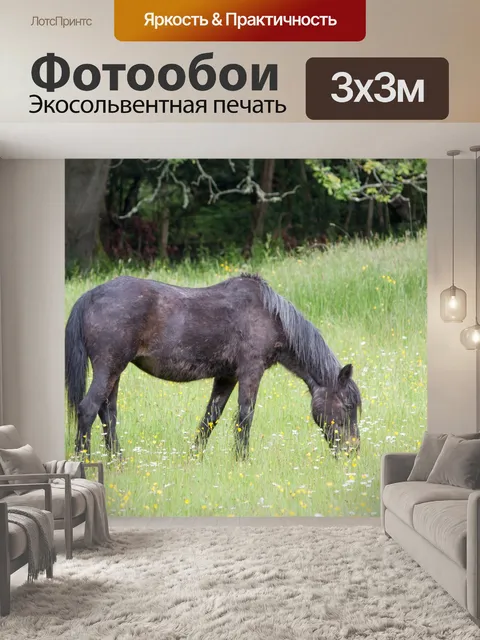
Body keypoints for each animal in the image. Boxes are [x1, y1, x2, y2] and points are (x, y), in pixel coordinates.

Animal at [65, 273, 362, 460]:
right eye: (348, 406)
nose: (353, 452)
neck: (270, 315)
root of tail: (91, 295)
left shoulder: (226, 377)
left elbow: (210, 418)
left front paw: (194, 458)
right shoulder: (250, 371)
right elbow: (245, 416)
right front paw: (242, 460)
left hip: (115, 372)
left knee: (108, 414)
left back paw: (118, 462)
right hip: (109, 367)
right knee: (88, 409)